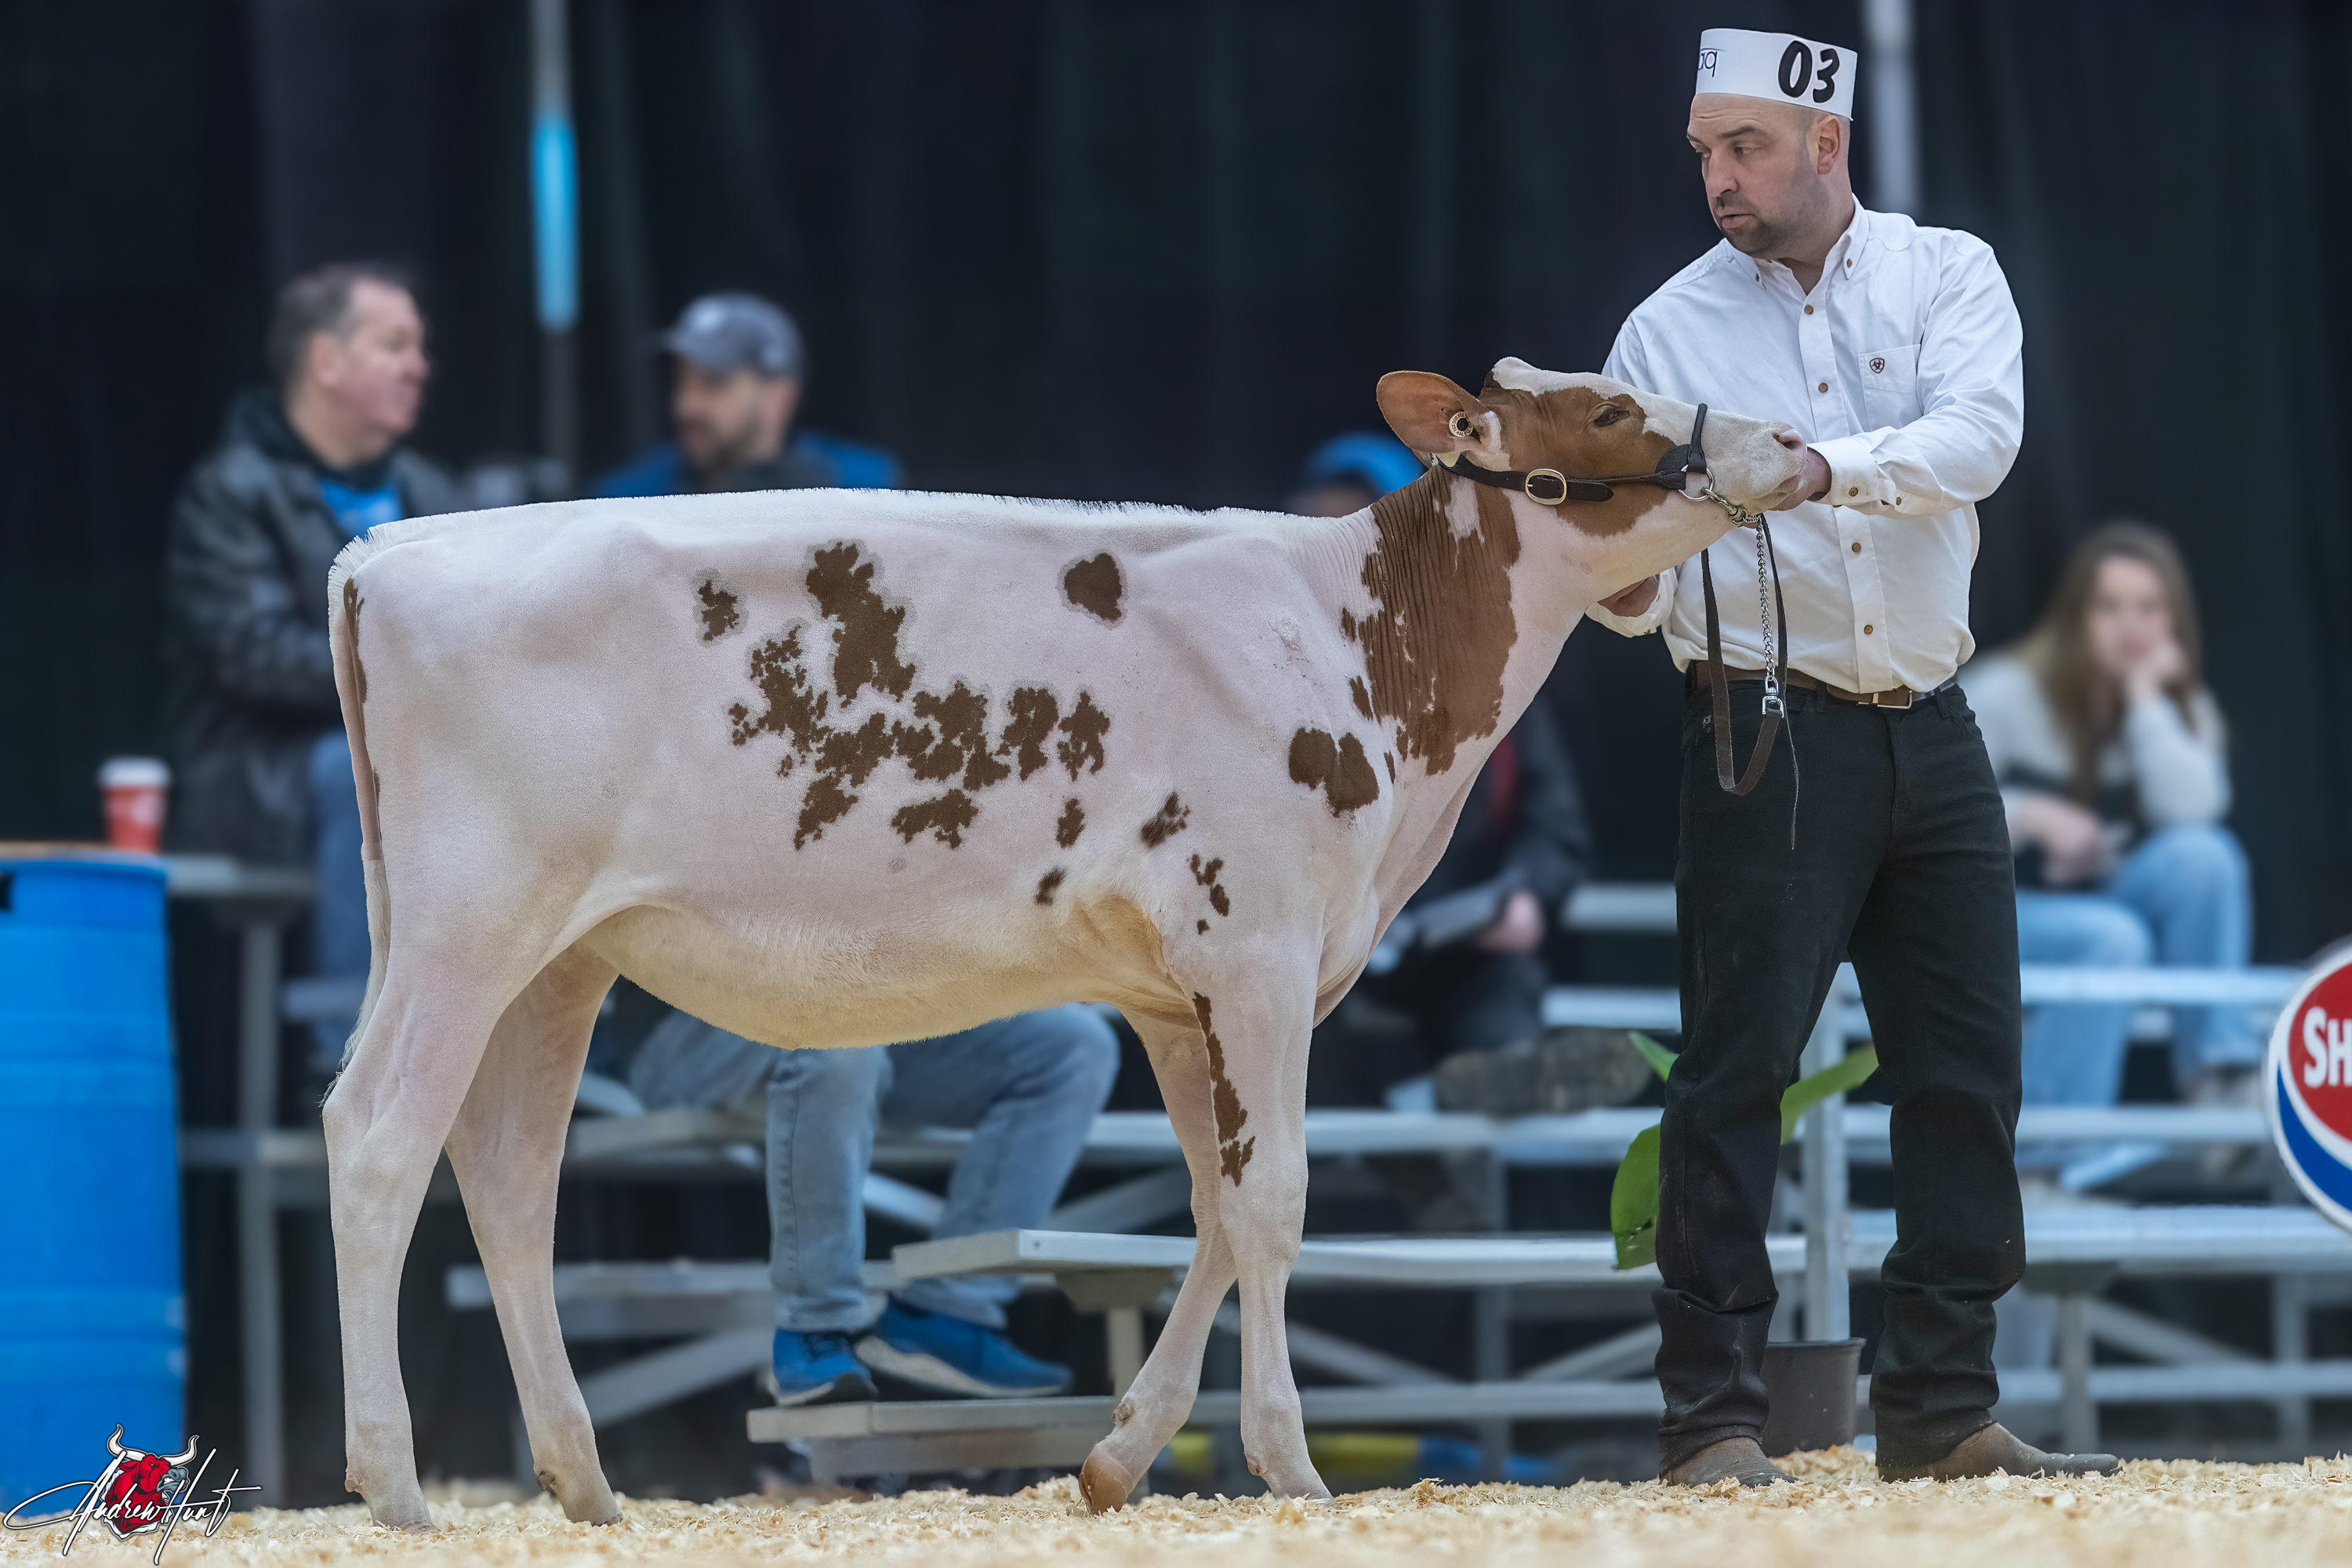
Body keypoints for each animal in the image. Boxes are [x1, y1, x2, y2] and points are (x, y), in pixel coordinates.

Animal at [320, 360, 1806, 1528]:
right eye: (1609, 403)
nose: (1793, 440)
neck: (1365, 649)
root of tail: (387, 551)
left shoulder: (1176, 988)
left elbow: (1212, 1204)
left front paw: (1118, 1456)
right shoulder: (1260, 950)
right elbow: (1276, 1202)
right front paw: (1289, 1466)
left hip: (556, 956)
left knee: (508, 1176)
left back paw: (581, 1480)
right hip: (466, 926)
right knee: (379, 1136)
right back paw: (392, 1482)